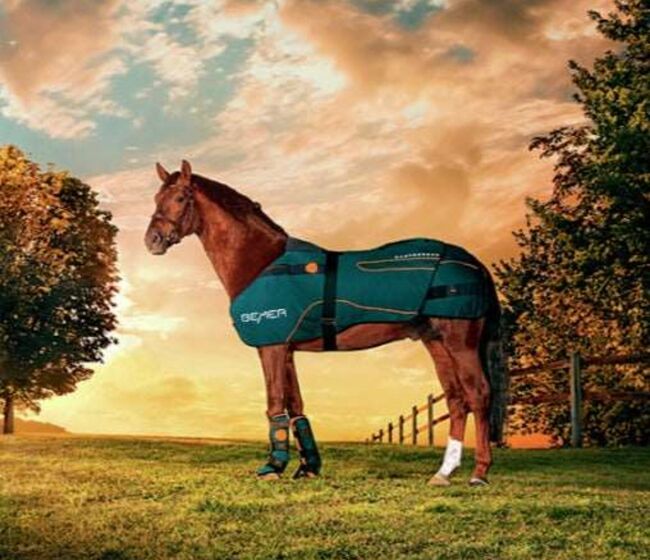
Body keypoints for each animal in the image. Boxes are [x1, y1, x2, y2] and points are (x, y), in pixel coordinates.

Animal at [145, 160, 507, 486]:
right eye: (156, 198)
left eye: (181, 198)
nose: (153, 240)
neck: (261, 261)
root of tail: (475, 263)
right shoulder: (287, 350)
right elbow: (296, 407)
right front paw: (308, 467)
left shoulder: (271, 346)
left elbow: (275, 405)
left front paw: (273, 467)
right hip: (436, 342)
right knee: (457, 400)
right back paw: (443, 473)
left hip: (461, 342)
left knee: (478, 395)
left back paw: (479, 473)